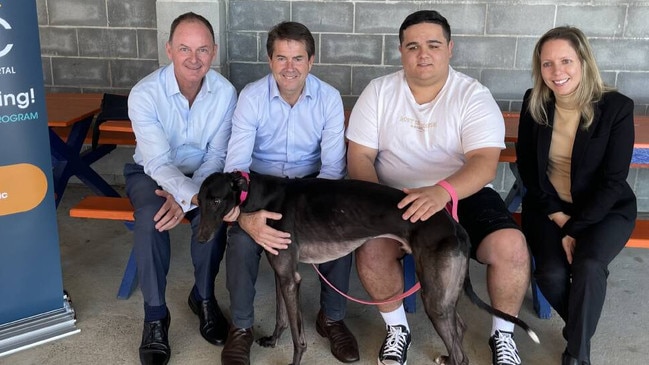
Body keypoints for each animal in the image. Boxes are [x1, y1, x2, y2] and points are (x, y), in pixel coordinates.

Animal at [197, 171, 536, 364]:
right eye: (199, 200)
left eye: (216, 201)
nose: (200, 239)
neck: (261, 194)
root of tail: (455, 226)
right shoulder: (283, 271)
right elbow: (282, 317)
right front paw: (271, 340)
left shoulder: (289, 276)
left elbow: (298, 335)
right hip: (444, 293)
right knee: (459, 329)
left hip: (434, 296)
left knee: (460, 353)